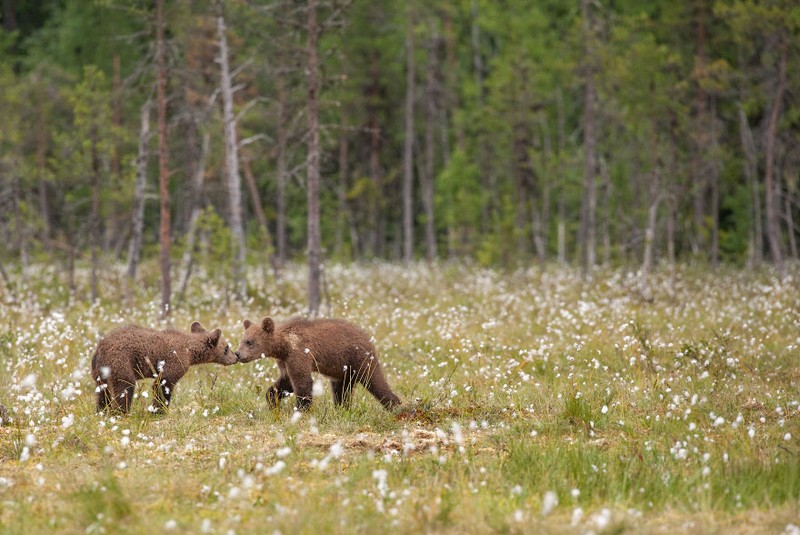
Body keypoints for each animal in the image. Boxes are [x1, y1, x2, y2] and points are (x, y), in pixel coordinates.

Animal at [92, 322, 234, 414]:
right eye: (227, 347)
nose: (236, 356)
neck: (190, 352)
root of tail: (100, 347)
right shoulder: (175, 361)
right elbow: (163, 383)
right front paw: (160, 410)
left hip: (99, 372)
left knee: (102, 392)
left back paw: (101, 411)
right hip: (120, 362)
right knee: (125, 386)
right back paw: (121, 412)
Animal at [236, 316, 400, 412]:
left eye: (249, 342)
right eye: (242, 340)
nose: (237, 354)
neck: (283, 346)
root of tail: (368, 338)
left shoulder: (300, 353)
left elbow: (302, 382)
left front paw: (301, 409)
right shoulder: (284, 360)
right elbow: (286, 382)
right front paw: (272, 399)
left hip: (359, 358)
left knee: (375, 381)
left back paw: (396, 407)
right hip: (341, 370)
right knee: (341, 390)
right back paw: (342, 409)